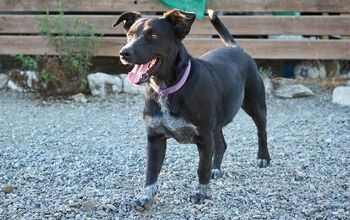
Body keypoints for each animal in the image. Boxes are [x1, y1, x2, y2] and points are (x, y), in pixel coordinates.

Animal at [113, 9, 270, 211]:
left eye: (153, 36)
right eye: (130, 34)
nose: (124, 52)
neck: (167, 88)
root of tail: (235, 48)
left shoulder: (204, 137)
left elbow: (202, 168)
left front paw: (201, 193)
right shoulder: (155, 138)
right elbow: (151, 171)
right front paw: (146, 197)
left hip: (255, 105)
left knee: (261, 131)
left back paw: (263, 157)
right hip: (218, 121)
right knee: (221, 144)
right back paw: (216, 168)